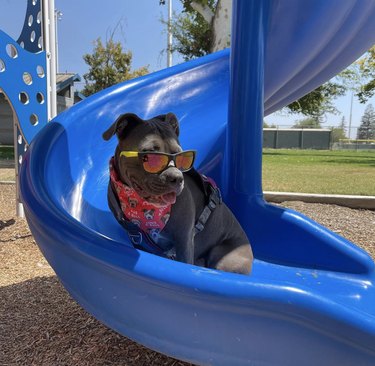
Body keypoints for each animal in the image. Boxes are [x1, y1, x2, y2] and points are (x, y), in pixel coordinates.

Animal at [103, 113, 253, 274]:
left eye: (181, 155)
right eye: (150, 155)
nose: (177, 178)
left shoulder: (184, 241)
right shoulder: (136, 237)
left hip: (224, 256)